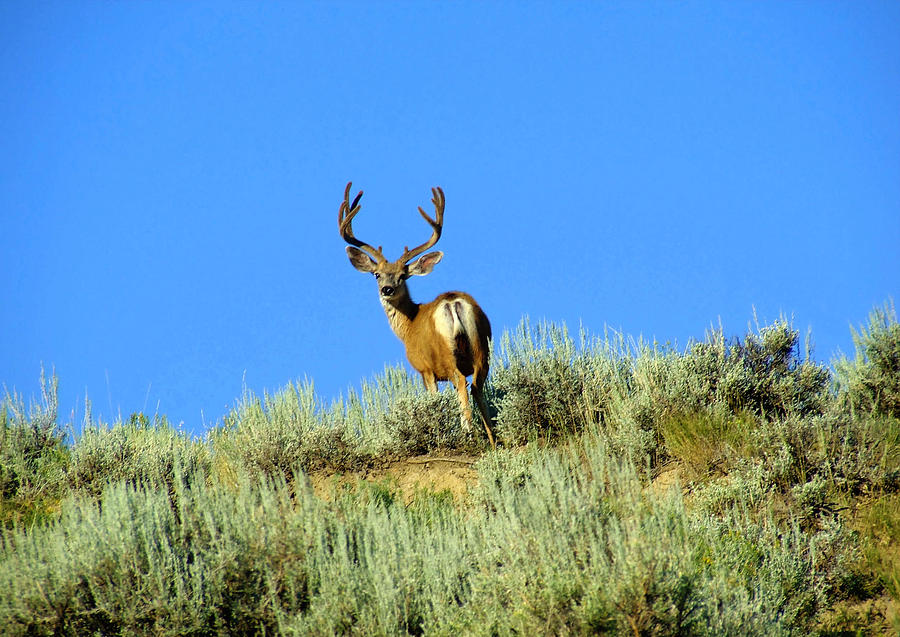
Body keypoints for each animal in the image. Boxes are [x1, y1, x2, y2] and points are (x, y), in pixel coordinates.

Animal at [338, 180, 496, 448]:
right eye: (377, 274)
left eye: (403, 275)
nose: (387, 289)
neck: (408, 325)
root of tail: (452, 302)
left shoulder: (425, 369)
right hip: (481, 347)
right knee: (477, 386)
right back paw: (492, 441)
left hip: (447, 356)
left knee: (462, 386)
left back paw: (468, 435)